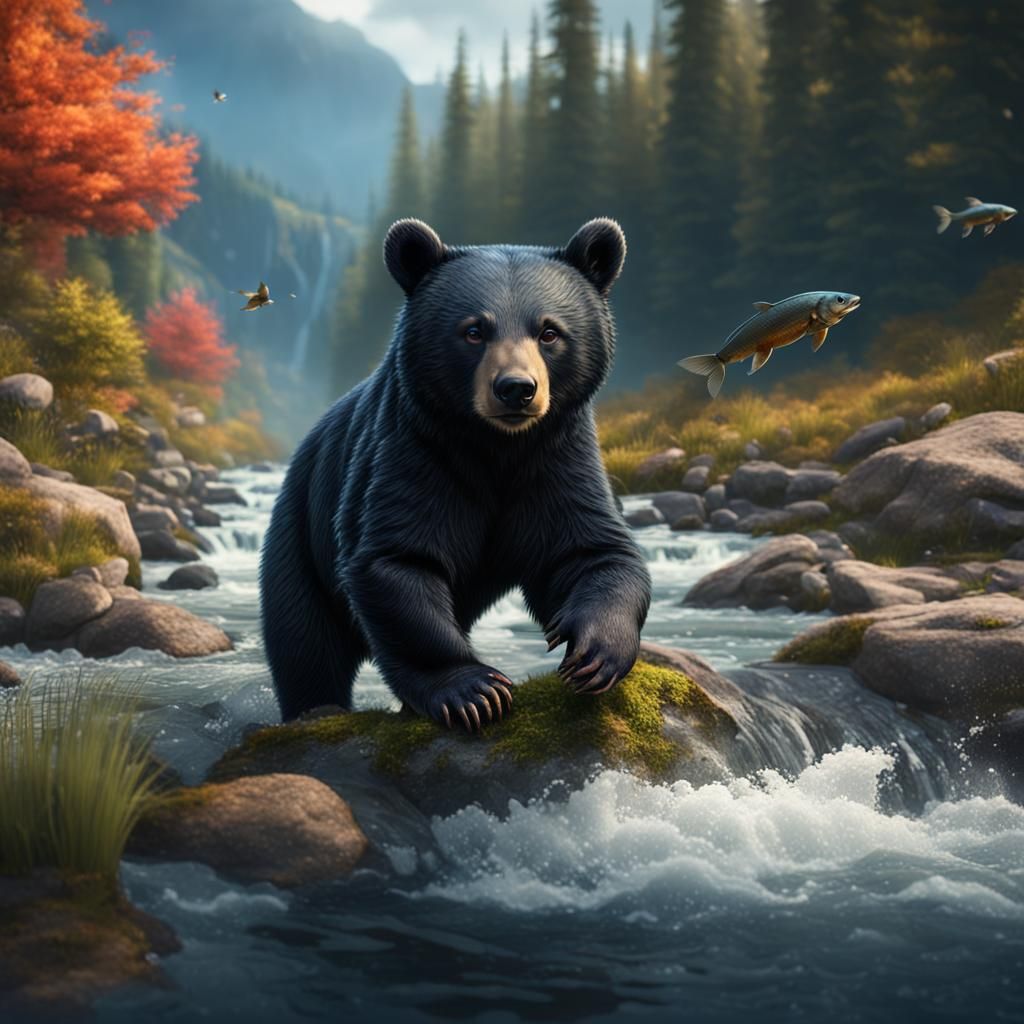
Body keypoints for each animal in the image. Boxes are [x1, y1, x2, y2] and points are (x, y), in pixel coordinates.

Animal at [260, 217, 652, 730]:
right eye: (474, 330)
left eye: (549, 332)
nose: (516, 389)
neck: (496, 447)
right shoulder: (412, 451)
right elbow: (396, 560)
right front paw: (474, 690)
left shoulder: (557, 459)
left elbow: (590, 550)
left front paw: (595, 655)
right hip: (301, 537)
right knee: (305, 644)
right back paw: (313, 707)